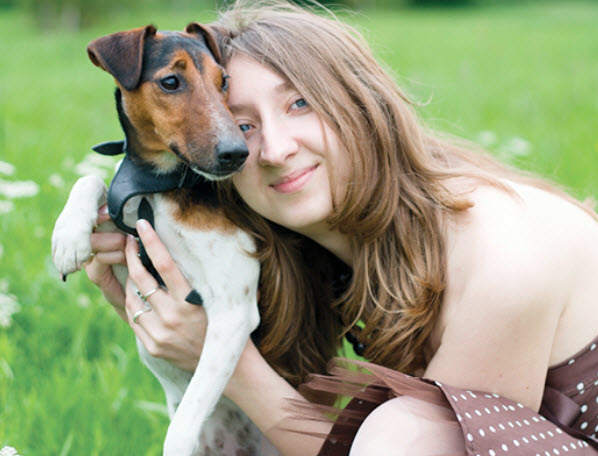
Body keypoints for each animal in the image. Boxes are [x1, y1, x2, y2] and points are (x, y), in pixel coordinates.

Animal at [52, 25, 278, 456]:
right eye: (171, 82)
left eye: (224, 81)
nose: (237, 154)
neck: (162, 188)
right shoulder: (125, 242)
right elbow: (92, 180)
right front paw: (69, 237)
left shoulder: (233, 311)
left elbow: (184, 423)